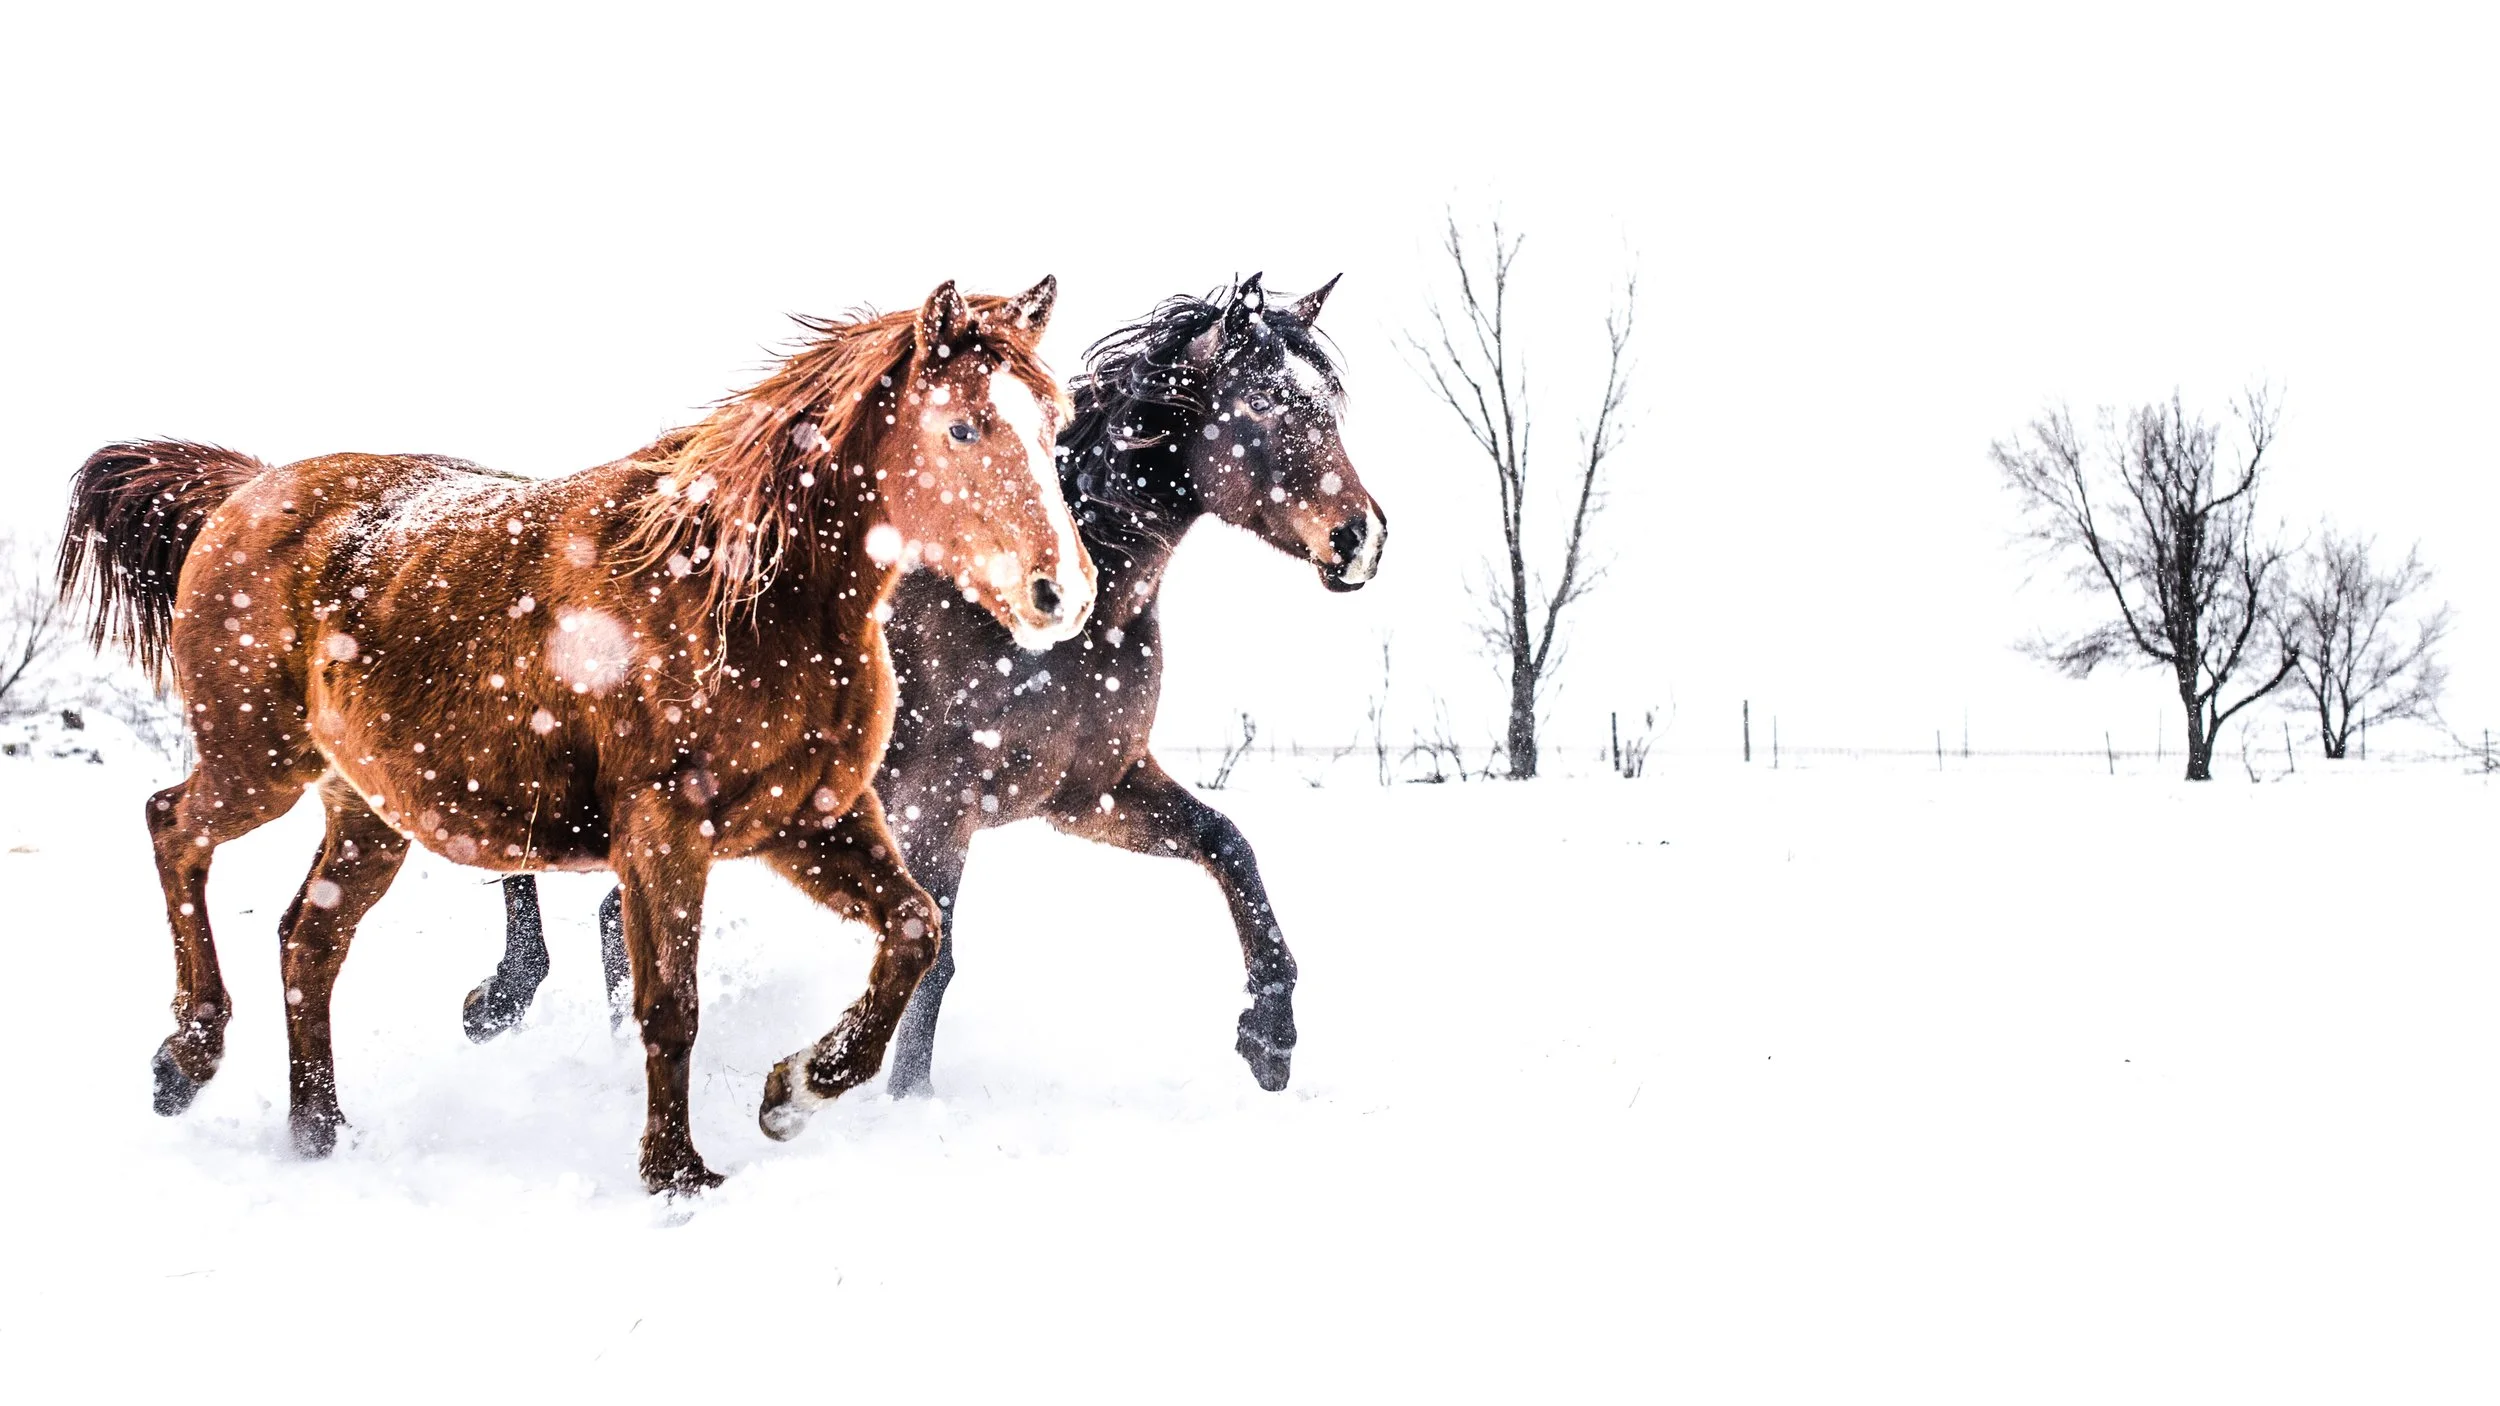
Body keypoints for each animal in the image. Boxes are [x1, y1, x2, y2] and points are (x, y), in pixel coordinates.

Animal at [57, 279, 1096, 1194]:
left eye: (1054, 425)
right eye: (963, 427)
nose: (1063, 594)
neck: (748, 600)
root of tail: (248, 492)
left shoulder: (812, 821)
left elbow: (914, 929)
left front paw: (794, 1093)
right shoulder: (663, 834)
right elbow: (669, 1004)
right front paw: (677, 1173)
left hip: (368, 815)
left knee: (307, 938)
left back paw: (317, 1131)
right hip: (257, 765)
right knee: (172, 827)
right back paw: (185, 1060)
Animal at [465, 273, 1385, 1097]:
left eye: (1330, 405)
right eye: (1263, 402)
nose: (1361, 540)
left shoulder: (1092, 794)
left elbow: (1229, 846)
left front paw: (1270, 1041)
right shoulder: (938, 810)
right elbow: (935, 955)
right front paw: (903, 1098)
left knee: (613, 918)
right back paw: (499, 1001)